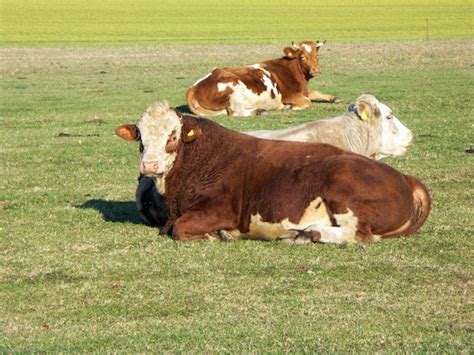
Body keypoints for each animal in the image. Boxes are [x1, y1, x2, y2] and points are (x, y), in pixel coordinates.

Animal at [185, 41, 340, 117]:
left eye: (317, 56)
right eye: (302, 56)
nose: (315, 70)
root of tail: (193, 88)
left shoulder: (304, 91)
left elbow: (314, 93)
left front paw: (334, 98)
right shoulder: (291, 95)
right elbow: (308, 102)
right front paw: (289, 107)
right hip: (233, 89)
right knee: (236, 112)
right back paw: (259, 111)